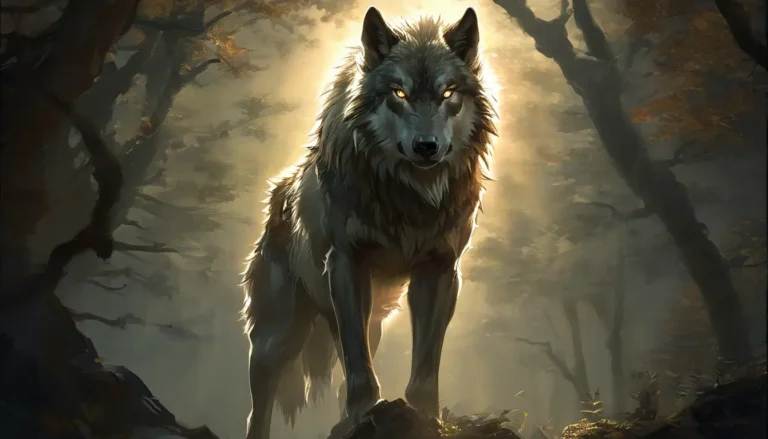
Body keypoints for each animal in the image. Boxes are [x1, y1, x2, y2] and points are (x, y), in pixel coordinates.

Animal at [240, 6, 498, 439]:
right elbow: (358, 364)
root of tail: (279, 190)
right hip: (276, 337)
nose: (426, 147)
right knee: (259, 408)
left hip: (370, 320)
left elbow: (425, 364)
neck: (409, 197)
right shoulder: (346, 264)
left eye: (447, 94)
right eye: (399, 93)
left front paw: (425, 417)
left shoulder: (440, 271)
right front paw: (364, 412)